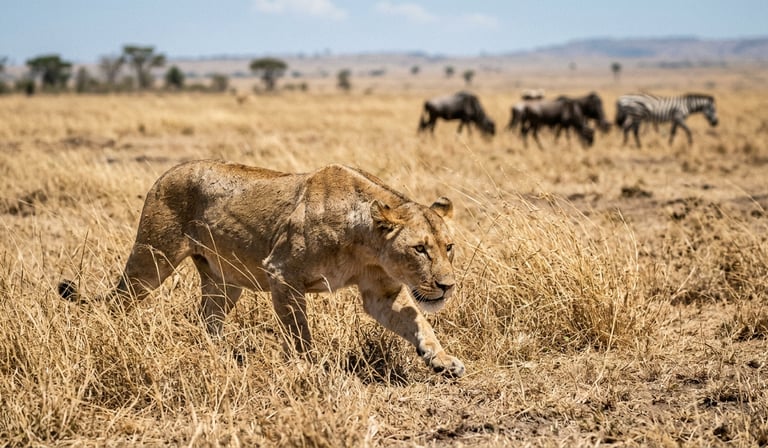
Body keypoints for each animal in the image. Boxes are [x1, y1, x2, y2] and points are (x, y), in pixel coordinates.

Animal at [59, 160, 465, 377]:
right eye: (419, 249)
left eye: (449, 248)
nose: (447, 286)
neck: (366, 243)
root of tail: (168, 172)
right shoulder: (282, 273)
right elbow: (299, 333)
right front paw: (309, 369)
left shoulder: (381, 294)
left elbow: (418, 322)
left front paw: (442, 360)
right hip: (153, 257)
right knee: (119, 301)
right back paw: (109, 334)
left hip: (223, 281)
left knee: (208, 319)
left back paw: (220, 356)